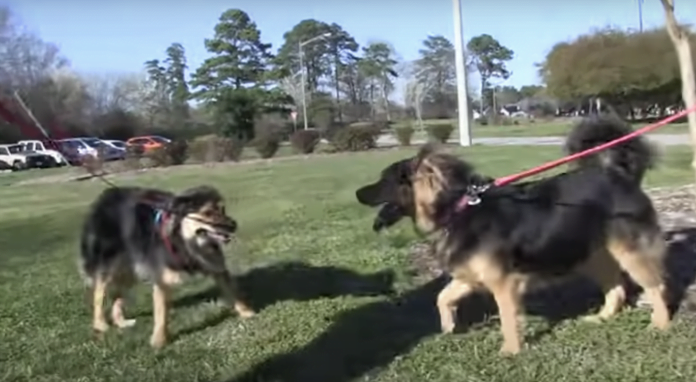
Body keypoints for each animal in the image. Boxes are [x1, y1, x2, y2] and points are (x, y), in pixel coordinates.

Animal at [81, 186, 256, 350]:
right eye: (207, 213)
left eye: (222, 209)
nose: (233, 225)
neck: (184, 241)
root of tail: (104, 198)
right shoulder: (162, 279)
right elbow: (161, 314)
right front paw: (159, 340)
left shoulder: (215, 264)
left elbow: (233, 291)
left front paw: (247, 312)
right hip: (110, 264)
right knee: (99, 293)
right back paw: (100, 324)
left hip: (130, 268)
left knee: (117, 294)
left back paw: (121, 322)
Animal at [356, 117, 672, 356]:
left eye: (384, 181)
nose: (358, 193)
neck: (457, 208)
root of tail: (620, 174)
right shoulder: (471, 275)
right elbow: (442, 298)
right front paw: (448, 328)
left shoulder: (503, 282)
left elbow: (507, 318)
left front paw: (511, 351)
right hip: (590, 254)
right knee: (616, 287)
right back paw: (602, 317)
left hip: (629, 251)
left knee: (655, 287)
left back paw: (660, 324)